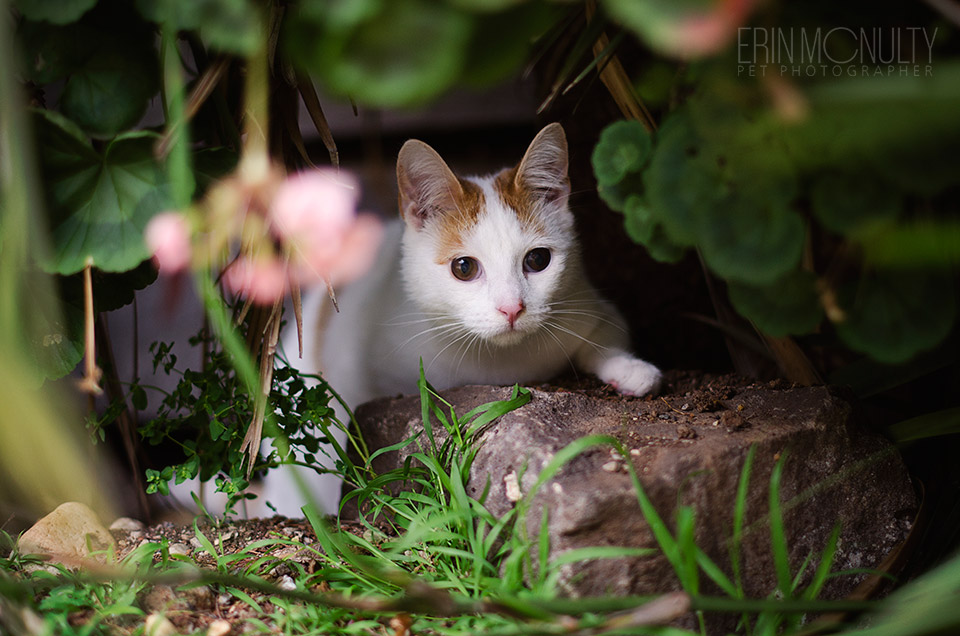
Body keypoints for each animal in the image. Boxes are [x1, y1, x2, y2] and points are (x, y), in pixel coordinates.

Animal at [266, 124, 664, 516]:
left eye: (538, 260)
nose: (512, 308)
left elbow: (605, 336)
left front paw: (629, 368)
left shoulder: (587, 305)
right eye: (464, 268)